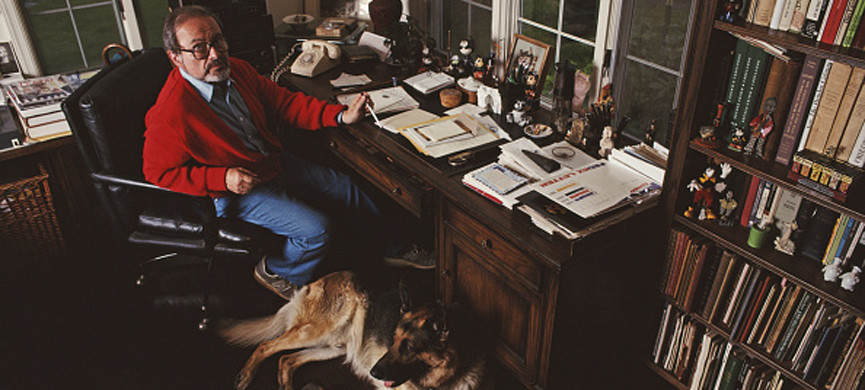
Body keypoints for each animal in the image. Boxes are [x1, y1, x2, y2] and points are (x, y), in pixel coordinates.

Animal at [218, 272, 486, 390]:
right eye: (392, 340)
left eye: (409, 347)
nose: (373, 371)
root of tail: (317, 282)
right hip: (318, 332)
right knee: (267, 346)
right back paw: (246, 375)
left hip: (333, 347)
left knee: (286, 360)